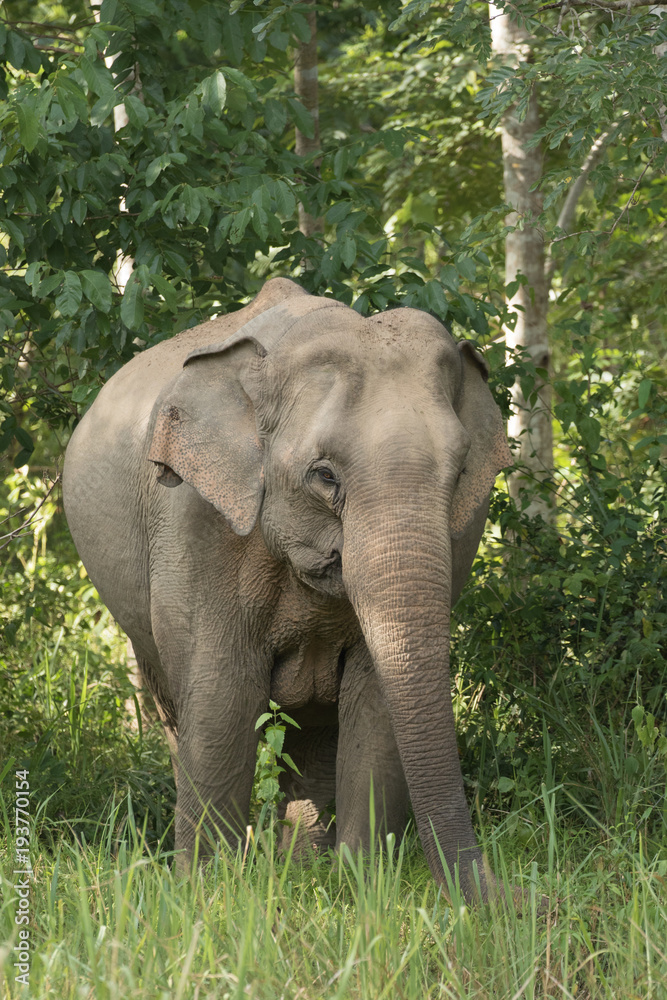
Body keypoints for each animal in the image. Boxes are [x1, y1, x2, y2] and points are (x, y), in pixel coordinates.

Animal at [63, 276, 512, 901]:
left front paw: (360, 883)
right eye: (323, 475)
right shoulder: (195, 520)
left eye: (461, 470)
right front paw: (210, 891)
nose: (521, 899)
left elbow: (376, 699)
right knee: (179, 709)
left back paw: (303, 863)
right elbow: (222, 695)